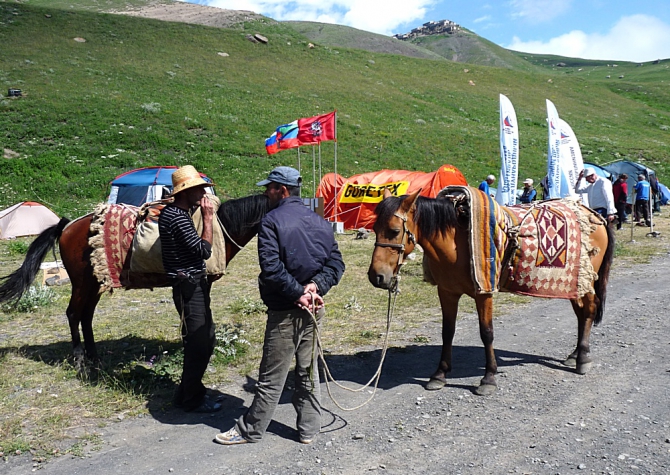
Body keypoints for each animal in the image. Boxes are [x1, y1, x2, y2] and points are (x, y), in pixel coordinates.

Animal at [0, 195, 268, 362]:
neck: (218, 229)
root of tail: (66, 226)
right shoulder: (192, 283)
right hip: (81, 284)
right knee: (74, 314)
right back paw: (80, 360)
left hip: (96, 283)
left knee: (86, 315)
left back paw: (94, 356)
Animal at [370, 188, 616, 396]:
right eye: (374, 229)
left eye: (394, 231)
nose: (376, 276)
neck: (457, 241)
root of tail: (594, 215)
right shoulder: (447, 292)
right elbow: (447, 332)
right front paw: (439, 374)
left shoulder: (484, 293)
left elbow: (486, 333)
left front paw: (488, 378)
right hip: (576, 284)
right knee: (581, 313)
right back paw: (574, 355)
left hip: (587, 281)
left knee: (589, 310)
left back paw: (582, 358)